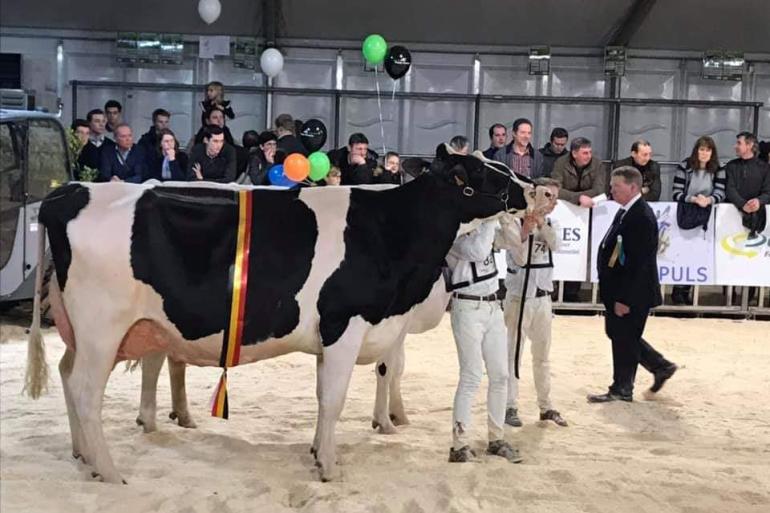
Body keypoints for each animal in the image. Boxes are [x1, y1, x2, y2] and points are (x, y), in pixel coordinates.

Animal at [24, 145, 540, 484]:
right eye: (481, 172)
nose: (533, 188)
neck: (392, 231)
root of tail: (70, 191)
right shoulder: (344, 323)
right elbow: (335, 398)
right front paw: (329, 466)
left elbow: (323, 396)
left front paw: (317, 450)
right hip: (101, 327)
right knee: (85, 389)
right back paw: (109, 471)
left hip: (82, 329)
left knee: (67, 374)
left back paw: (83, 455)